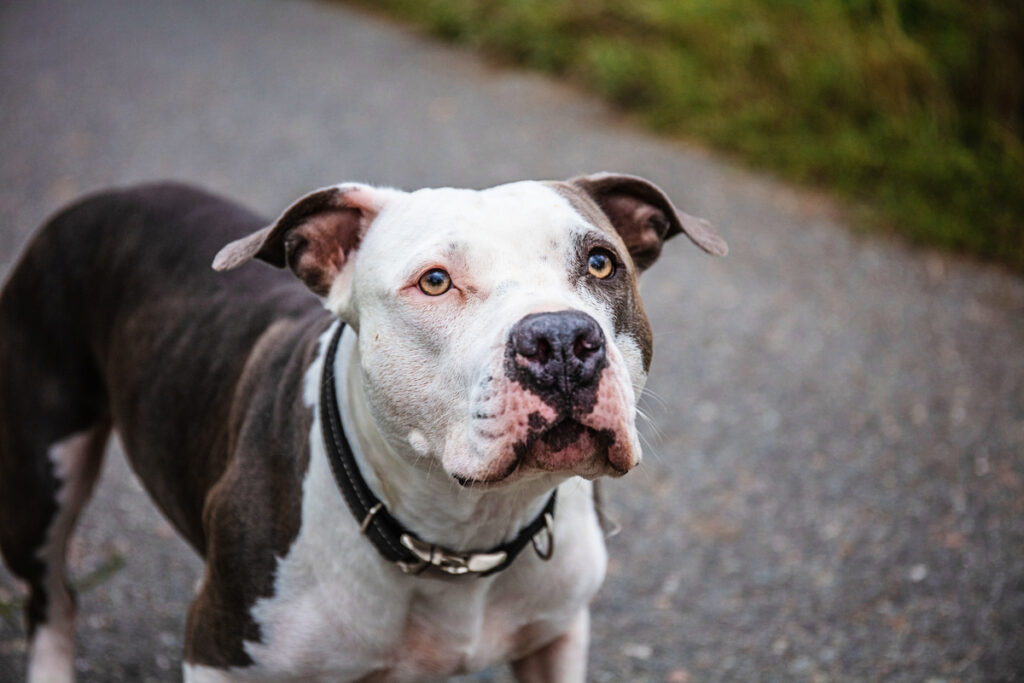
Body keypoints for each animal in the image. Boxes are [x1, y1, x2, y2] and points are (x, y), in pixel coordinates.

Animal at [0, 173, 725, 682]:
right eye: (435, 282)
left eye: (601, 263)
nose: (562, 340)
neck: (463, 537)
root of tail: (107, 195)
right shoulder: (218, 649)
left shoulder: (557, 635)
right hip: (38, 489)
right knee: (53, 597)